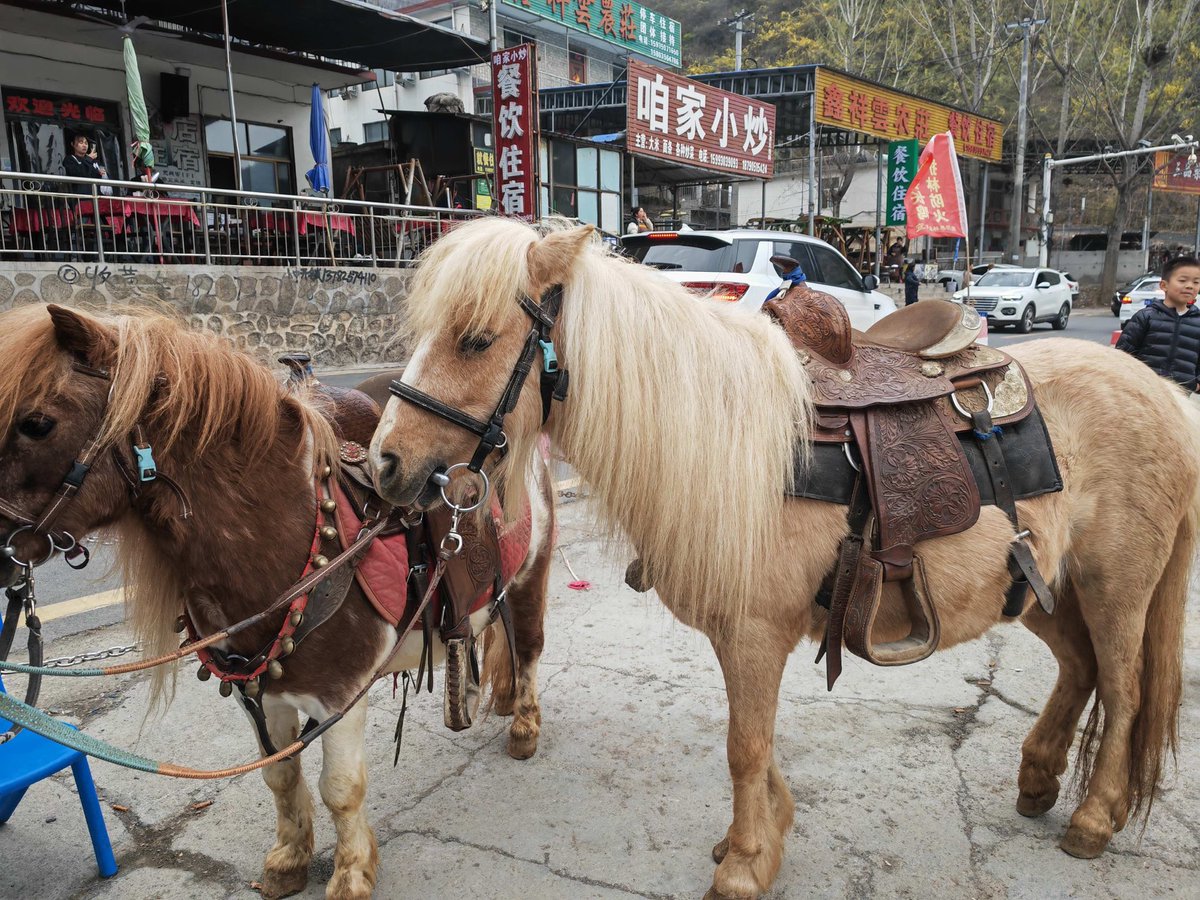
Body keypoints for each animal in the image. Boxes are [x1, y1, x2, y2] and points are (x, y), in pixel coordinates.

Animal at [0, 303, 554, 900]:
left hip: (531, 575)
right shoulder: (263, 696)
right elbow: (280, 776)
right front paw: (290, 857)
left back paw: (524, 724)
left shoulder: (340, 697)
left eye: (36, 423)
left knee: (528, 645)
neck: (288, 533)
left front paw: (351, 873)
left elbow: (340, 788)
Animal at [368, 217, 1199, 900]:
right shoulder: (743, 638)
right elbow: (757, 745)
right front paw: (766, 838)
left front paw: (742, 865)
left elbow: (744, 746)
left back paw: (1093, 818)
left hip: (1115, 588)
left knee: (1123, 691)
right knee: (1081, 670)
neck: (728, 437)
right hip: (1043, 588)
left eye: (476, 339)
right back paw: (1040, 779)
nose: (384, 464)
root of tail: (1162, 393)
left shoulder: (754, 634)